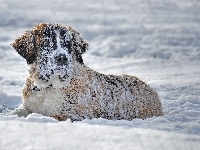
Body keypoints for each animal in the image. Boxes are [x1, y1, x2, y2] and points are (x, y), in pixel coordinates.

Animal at [10, 22, 162, 120]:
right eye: (46, 43)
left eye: (68, 44)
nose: (62, 57)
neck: (50, 85)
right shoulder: (28, 105)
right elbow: (18, 111)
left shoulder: (77, 113)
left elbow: (52, 116)